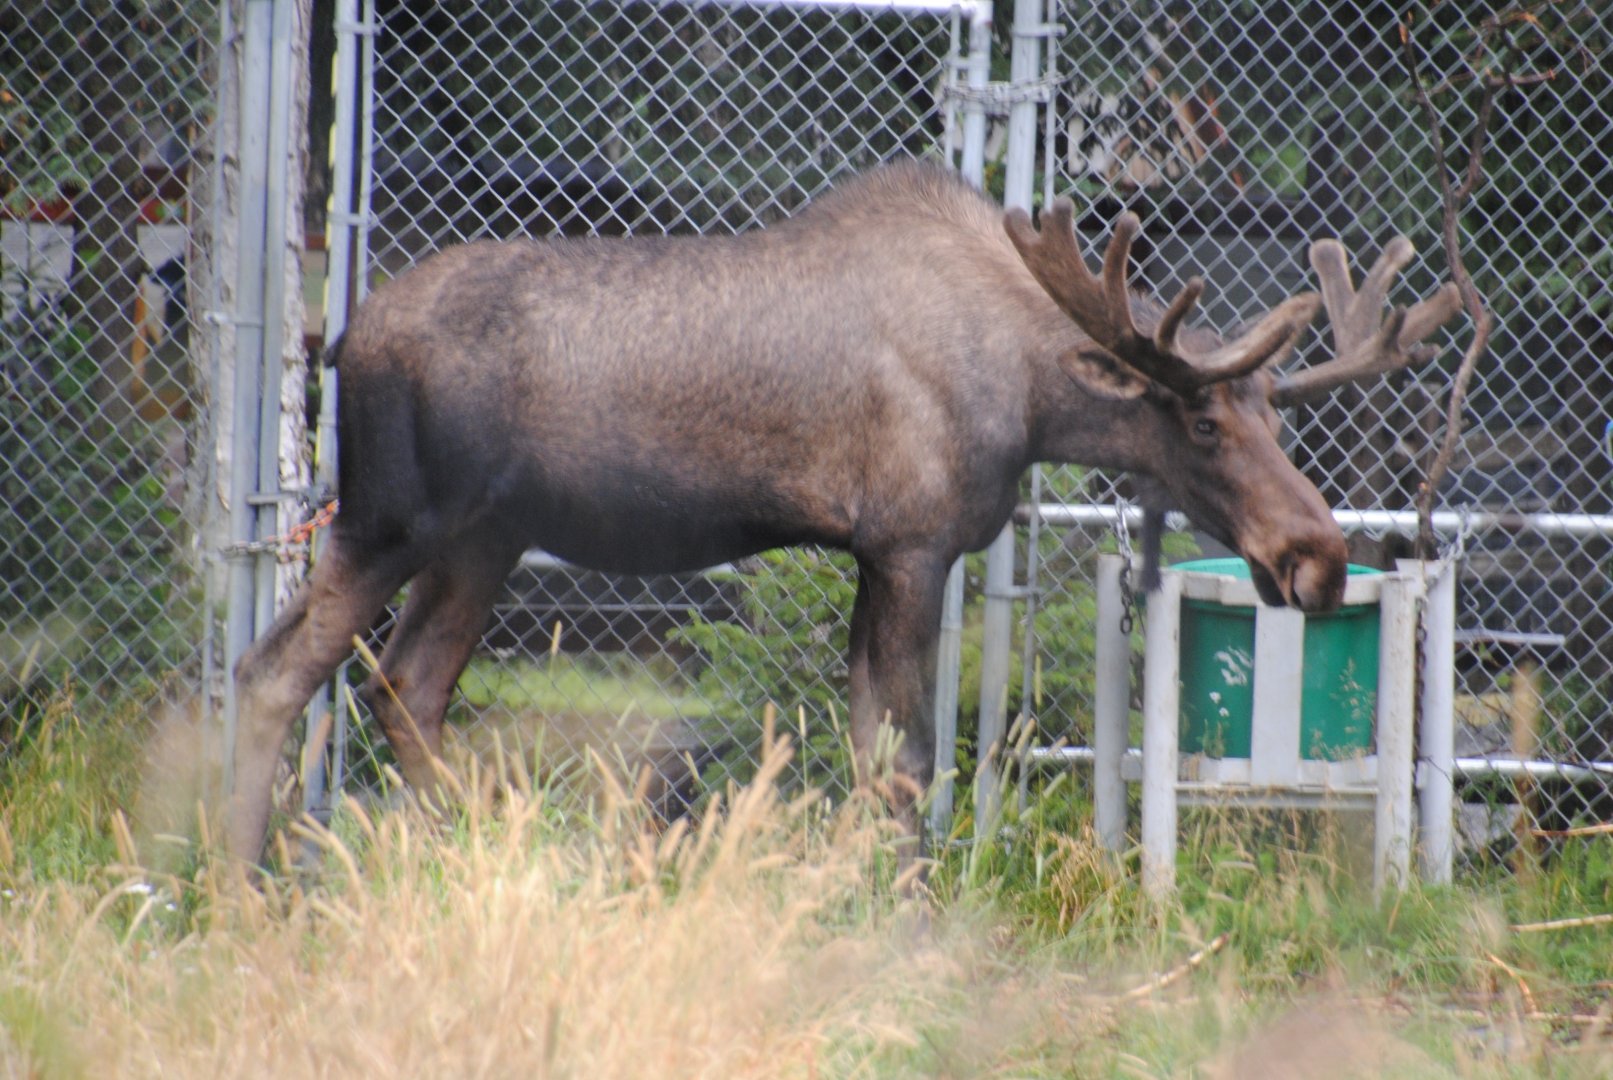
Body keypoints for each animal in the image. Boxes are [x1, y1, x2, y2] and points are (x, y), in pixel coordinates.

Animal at [225, 161, 1460, 862]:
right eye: (1200, 421)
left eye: (1275, 415)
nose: (1315, 559)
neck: (1027, 390)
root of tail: (340, 338)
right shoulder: (911, 542)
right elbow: (906, 762)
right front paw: (902, 905)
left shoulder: (880, 553)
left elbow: (874, 753)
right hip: (388, 521)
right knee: (275, 672)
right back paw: (236, 885)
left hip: (483, 540)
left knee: (407, 688)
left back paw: (479, 851)